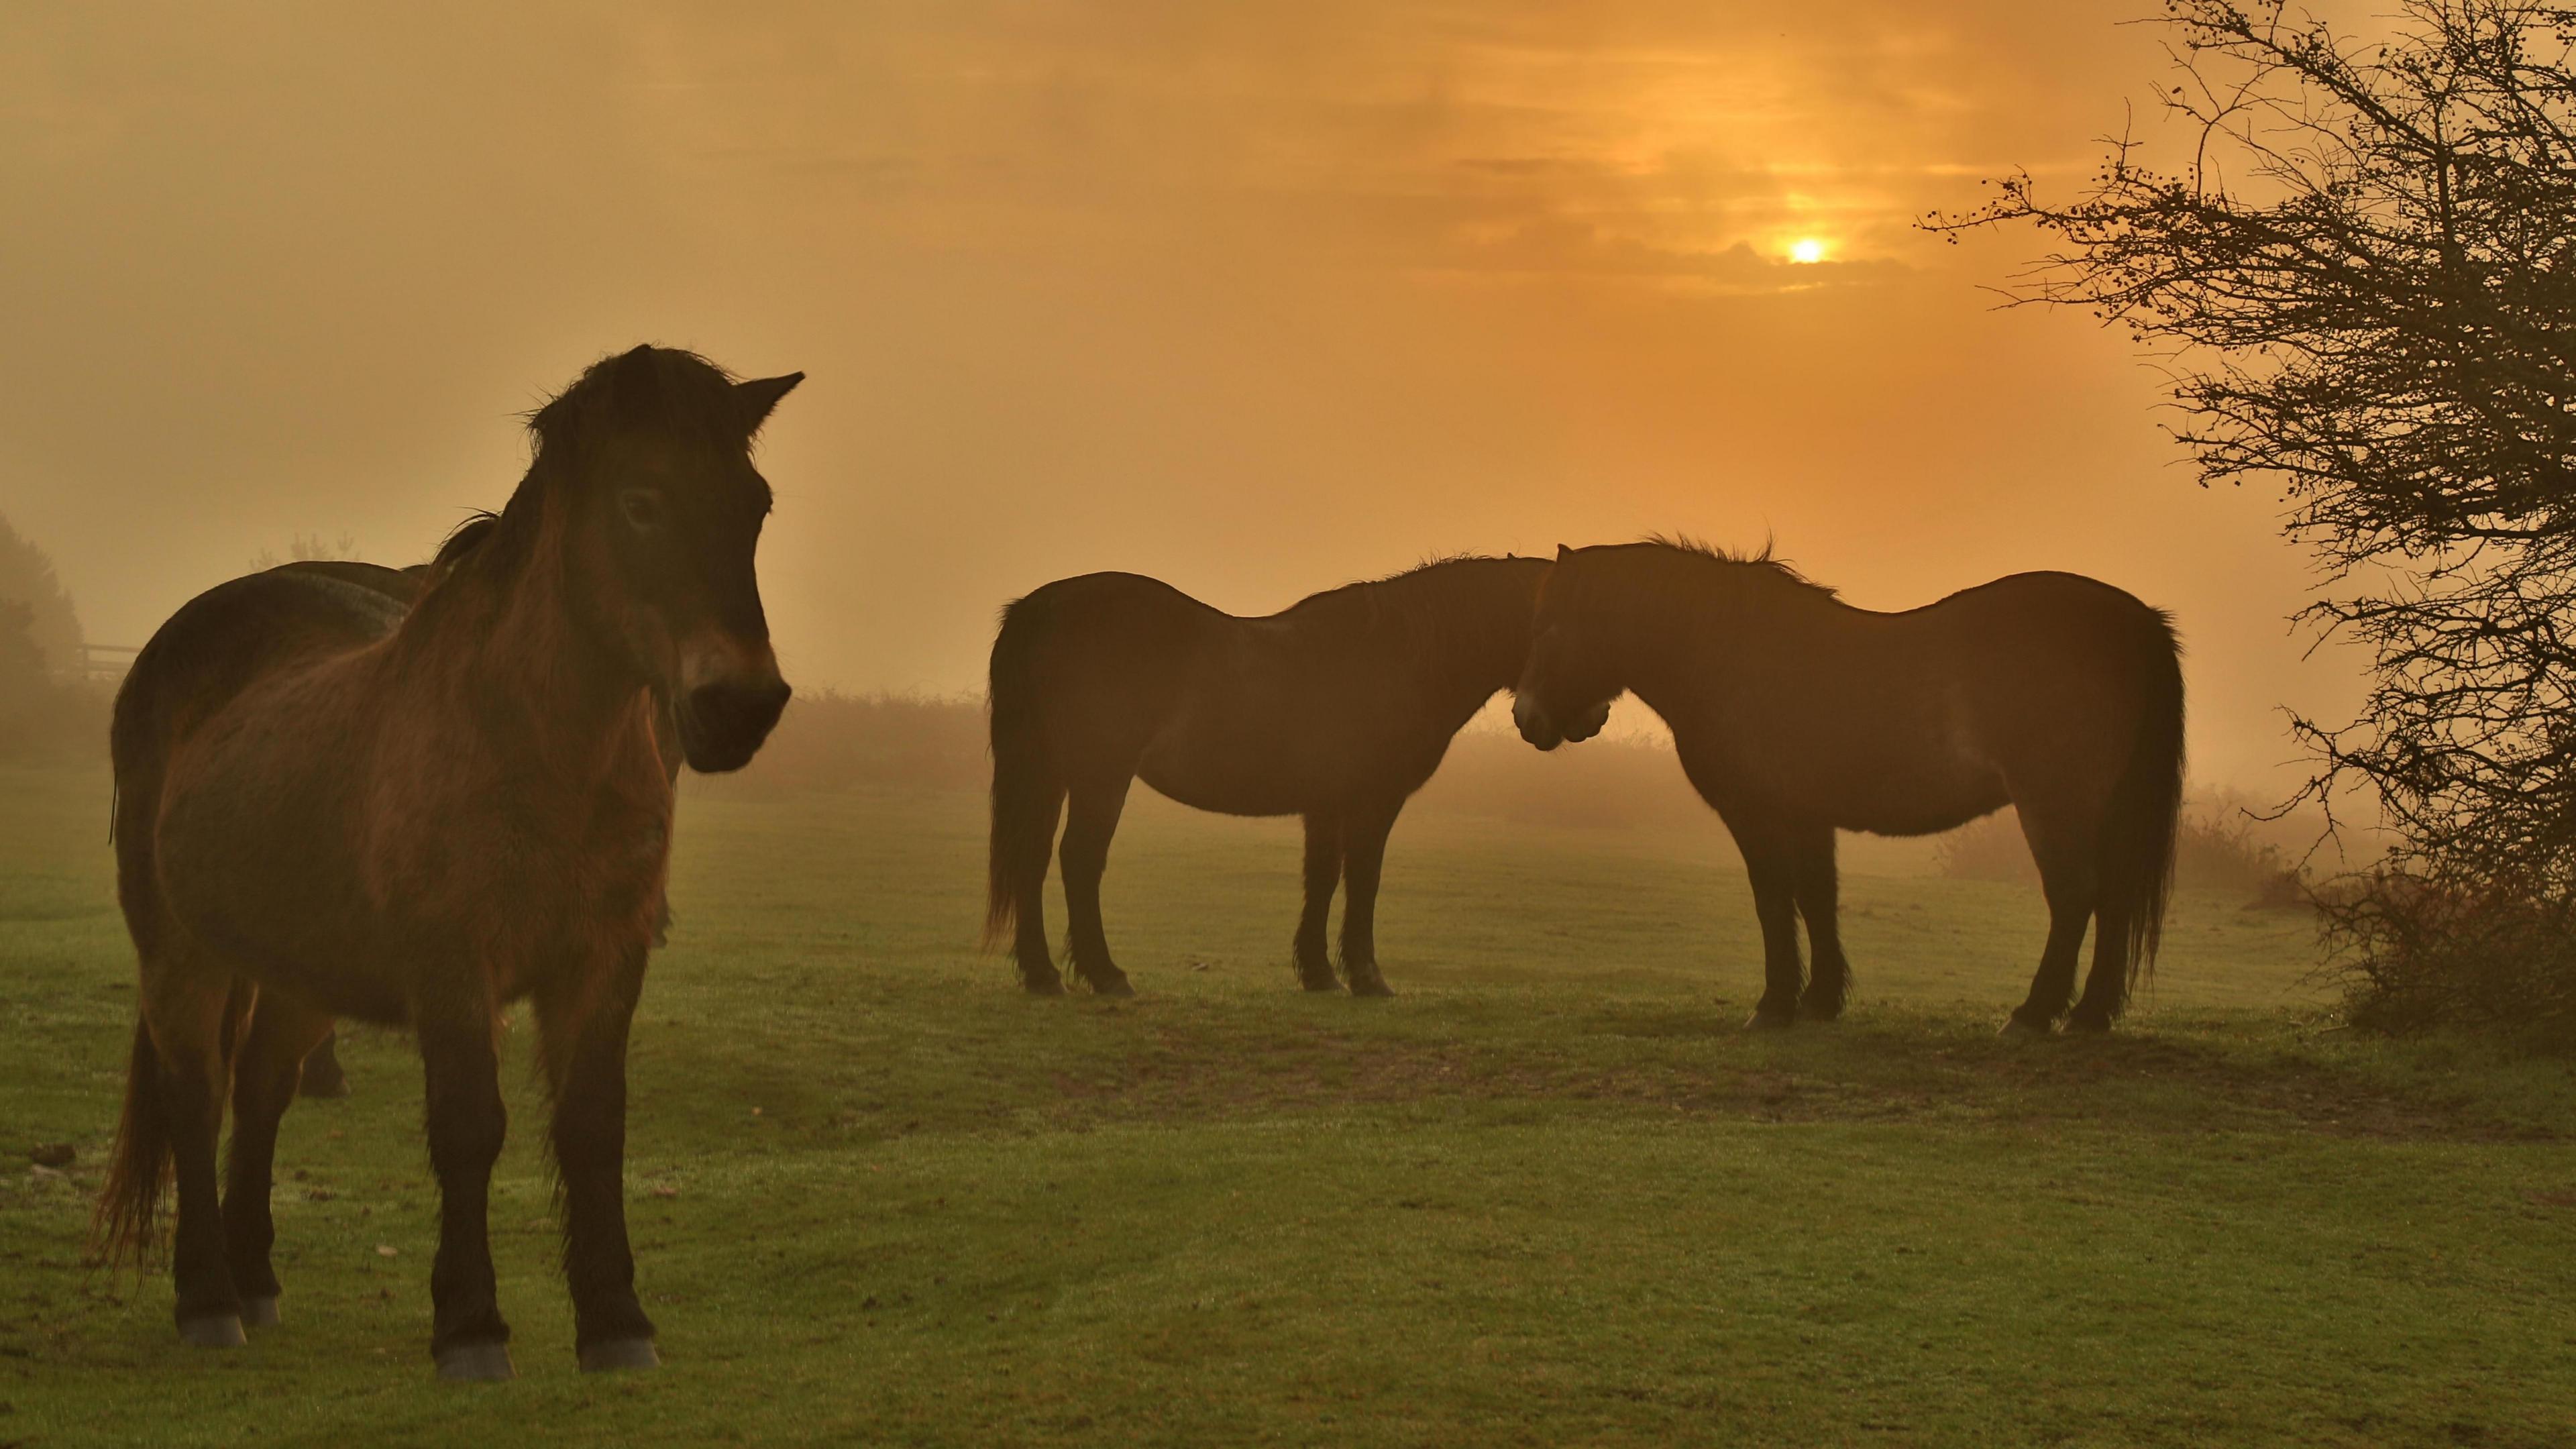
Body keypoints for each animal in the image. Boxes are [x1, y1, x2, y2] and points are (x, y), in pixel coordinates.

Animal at [93, 346, 800, 1380]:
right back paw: (210, 1301)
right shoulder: (454, 965)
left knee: (260, 1092)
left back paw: (257, 1283)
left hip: (303, 971)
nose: (742, 705)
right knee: (197, 1095)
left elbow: (593, 1129)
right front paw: (471, 1329)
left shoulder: (605, 960)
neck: (535, 745)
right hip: (181, 953)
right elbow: (471, 1129)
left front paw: (617, 1324)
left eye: (755, 505)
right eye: (641, 501)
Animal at [985, 556, 1551, 997]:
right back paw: (1104, 974)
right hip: (1101, 774)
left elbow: (1322, 877)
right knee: (1079, 859)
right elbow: (1363, 879)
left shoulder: (1326, 805)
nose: (1544, 724)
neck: (1396, 657)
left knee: (1032, 858)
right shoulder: (1374, 801)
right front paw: (1367, 977)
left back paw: (1042, 974)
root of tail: (1042, 607)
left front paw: (1320, 973)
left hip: (1050, 773)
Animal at [1511, 540, 2183, 1035]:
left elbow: (1773, 900)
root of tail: (2135, 620)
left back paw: (2034, 1014)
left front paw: (1775, 1005)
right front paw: (1821, 1001)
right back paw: (2091, 1015)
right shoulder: (1809, 816)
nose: (1526, 718)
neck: (1729, 655)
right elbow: (1817, 899)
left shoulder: (1757, 815)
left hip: (2055, 805)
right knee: (2113, 901)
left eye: (1549, 629)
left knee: (2074, 898)